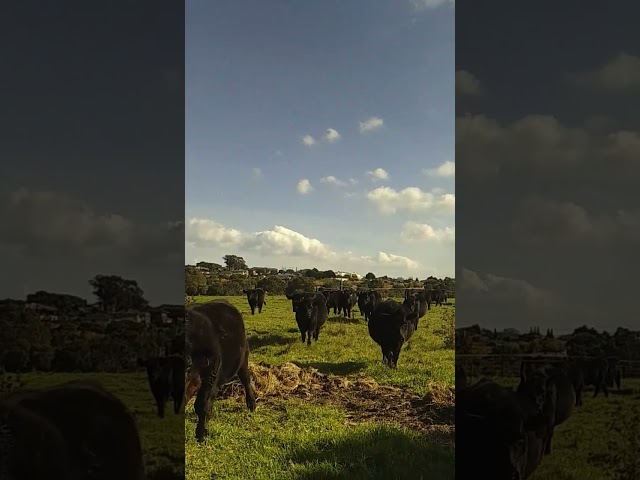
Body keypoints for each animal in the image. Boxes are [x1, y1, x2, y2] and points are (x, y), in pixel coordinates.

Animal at [185, 300, 255, 442]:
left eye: (187, 366)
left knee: (246, 379)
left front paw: (200, 436)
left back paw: (252, 404)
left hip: (243, 359)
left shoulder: (210, 376)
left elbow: (201, 405)